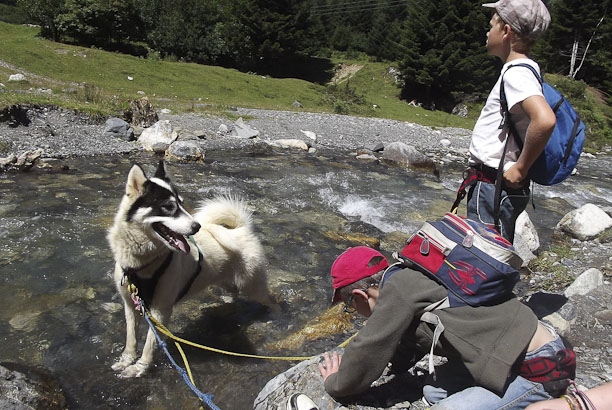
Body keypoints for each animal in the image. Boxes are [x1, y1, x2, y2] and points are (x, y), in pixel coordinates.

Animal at [107, 161, 272, 378]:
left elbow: (150, 344)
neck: (143, 264)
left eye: (181, 203)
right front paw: (126, 360)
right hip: (228, 281)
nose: (197, 226)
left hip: (253, 286)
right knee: (233, 293)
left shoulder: (161, 311)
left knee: (271, 300)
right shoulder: (130, 304)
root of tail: (241, 229)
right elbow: (131, 339)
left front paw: (140, 367)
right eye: (169, 207)